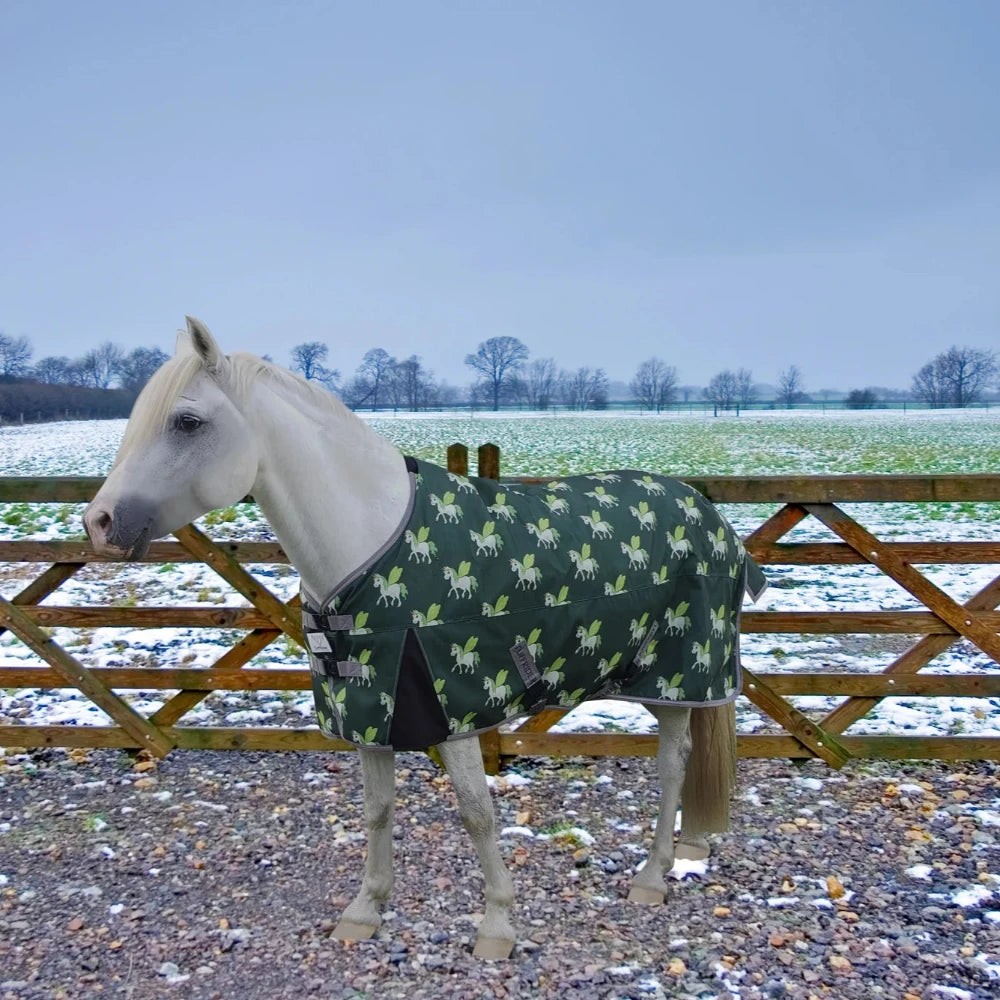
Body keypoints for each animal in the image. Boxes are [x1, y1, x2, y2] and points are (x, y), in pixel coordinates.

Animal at [84, 317, 763, 961]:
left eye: (187, 421)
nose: (100, 522)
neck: (368, 543)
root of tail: (713, 518)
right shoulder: (371, 711)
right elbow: (378, 810)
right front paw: (365, 911)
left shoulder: (452, 710)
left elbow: (476, 813)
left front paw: (497, 926)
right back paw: (680, 856)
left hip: (679, 675)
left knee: (672, 764)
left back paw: (651, 877)